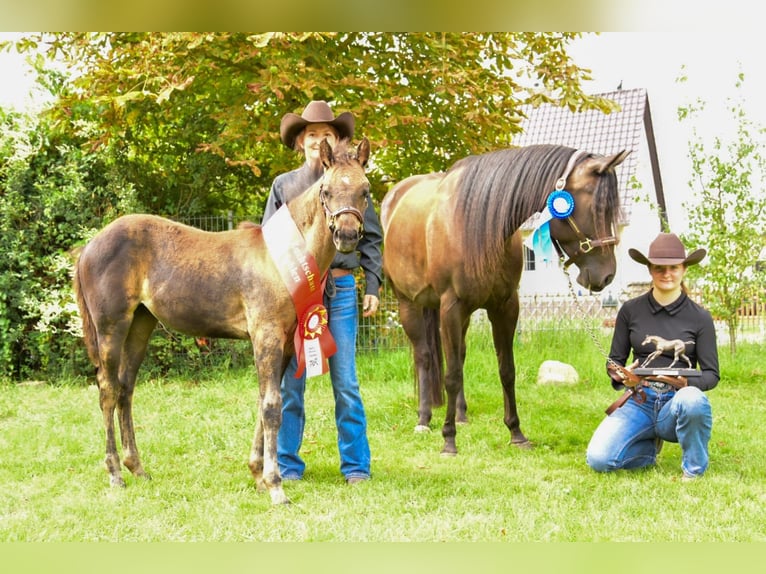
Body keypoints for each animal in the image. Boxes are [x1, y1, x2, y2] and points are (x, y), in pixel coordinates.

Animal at [73, 138, 371, 505]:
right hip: (111, 327)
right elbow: (272, 406)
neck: (282, 259)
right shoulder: (266, 335)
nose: (347, 234)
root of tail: (89, 246)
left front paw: (258, 474)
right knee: (108, 389)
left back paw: (137, 468)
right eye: (326, 191)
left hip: (141, 324)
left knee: (126, 388)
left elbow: (266, 400)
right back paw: (115, 472)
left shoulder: (286, 342)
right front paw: (275, 486)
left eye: (365, 190)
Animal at [380, 144, 629, 456]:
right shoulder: (451, 307)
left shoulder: (505, 306)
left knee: (459, 354)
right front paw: (448, 440)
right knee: (424, 356)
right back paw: (424, 419)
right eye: (598, 208)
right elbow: (451, 375)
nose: (606, 275)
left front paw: (516, 433)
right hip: (409, 304)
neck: (476, 223)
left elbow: (506, 370)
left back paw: (460, 415)